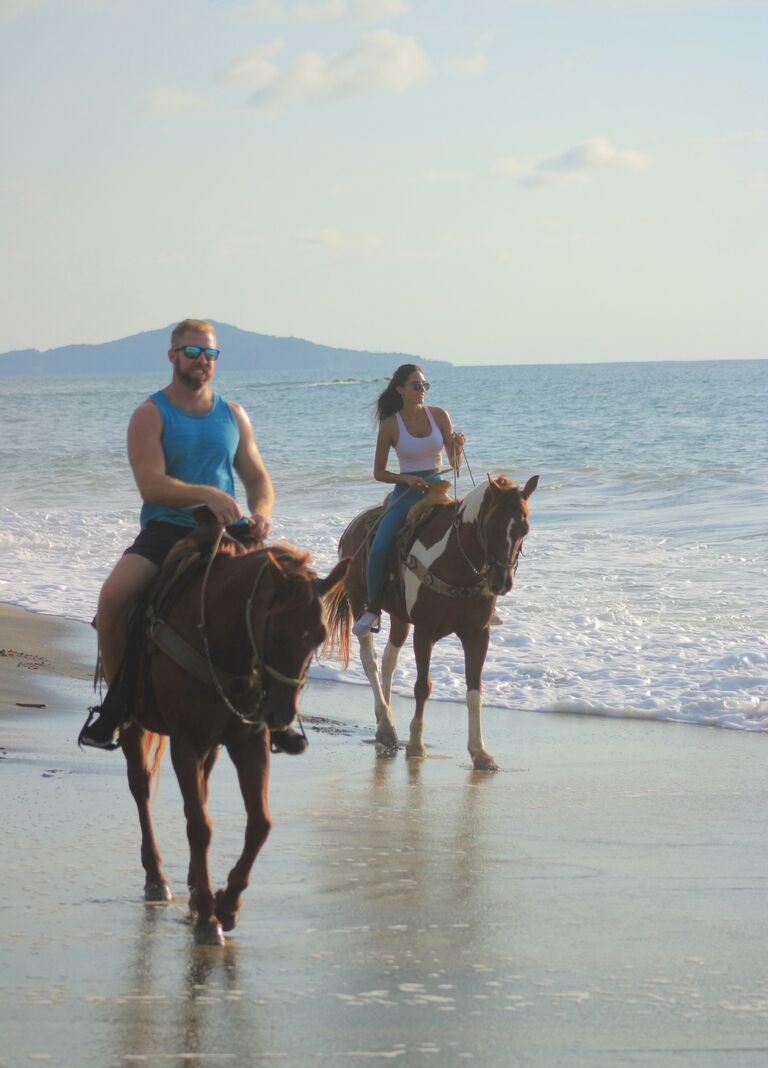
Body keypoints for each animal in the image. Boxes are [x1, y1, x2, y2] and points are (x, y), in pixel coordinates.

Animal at [118, 521, 350, 948]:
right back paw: (157, 877)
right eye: (275, 633)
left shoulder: (248, 741)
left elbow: (259, 823)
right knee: (141, 788)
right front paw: (208, 914)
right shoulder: (185, 740)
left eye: (319, 637)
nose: (281, 715)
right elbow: (199, 825)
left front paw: (226, 903)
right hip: (134, 725)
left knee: (202, 789)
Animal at [326, 476, 538, 768]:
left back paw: (385, 724)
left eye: (524, 528)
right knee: (369, 659)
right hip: (359, 604)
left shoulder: (477, 634)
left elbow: (474, 692)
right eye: (492, 523)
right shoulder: (424, 632)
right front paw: (417, 744)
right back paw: (386, 725)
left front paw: (480, 752)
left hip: (399, 618)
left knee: (388, 661)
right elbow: (422, 687)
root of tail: (351, 527)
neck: (456, 562)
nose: (501, 583)